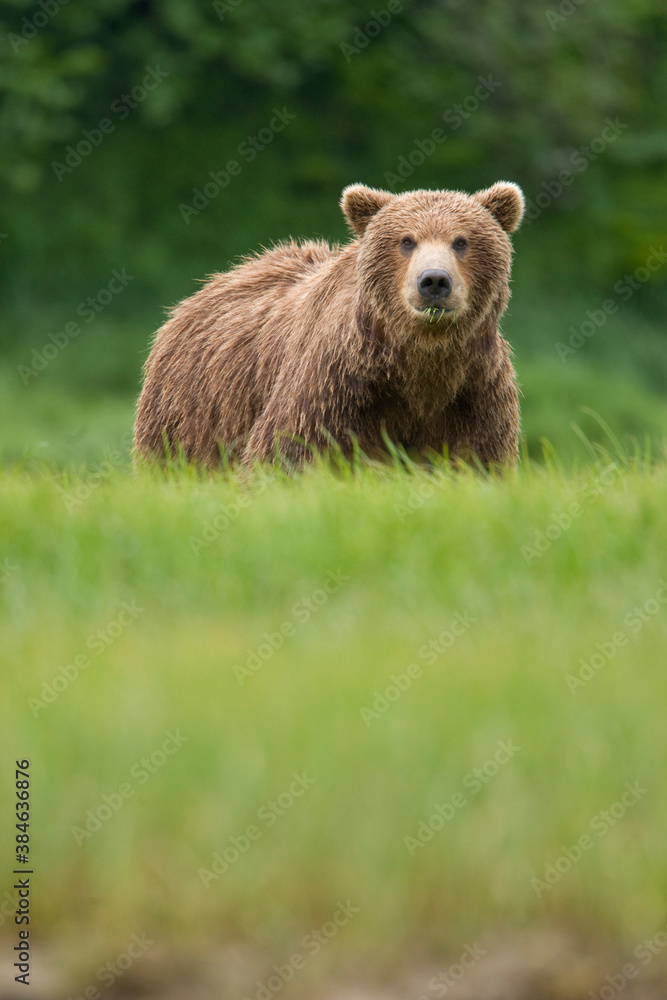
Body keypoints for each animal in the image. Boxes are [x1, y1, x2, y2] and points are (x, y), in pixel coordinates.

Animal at [134, 182, 525, 468]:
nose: (434, 281)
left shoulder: (474, 393)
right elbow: (288, 451)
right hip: (190, 413)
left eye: (461, 241)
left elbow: (477, 459)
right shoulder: (335, 386)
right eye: (406, 240)